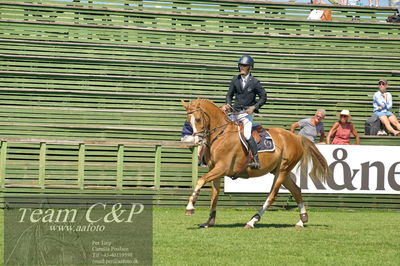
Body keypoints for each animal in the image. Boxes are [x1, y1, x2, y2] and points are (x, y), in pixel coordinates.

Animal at [182, 99, 332, 229]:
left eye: (198, 119)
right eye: (188, 121)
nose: (197, 140)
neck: (221, 134)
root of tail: (295, 137)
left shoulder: (222, 168)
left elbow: (200, 181)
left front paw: (190, 207)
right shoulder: (215, 170)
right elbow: (214, 195)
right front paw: (209, 221)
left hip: (282, 171)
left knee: (272, 196)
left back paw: (252, 221)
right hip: (281, 171)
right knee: (296, 190)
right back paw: (302, 220)